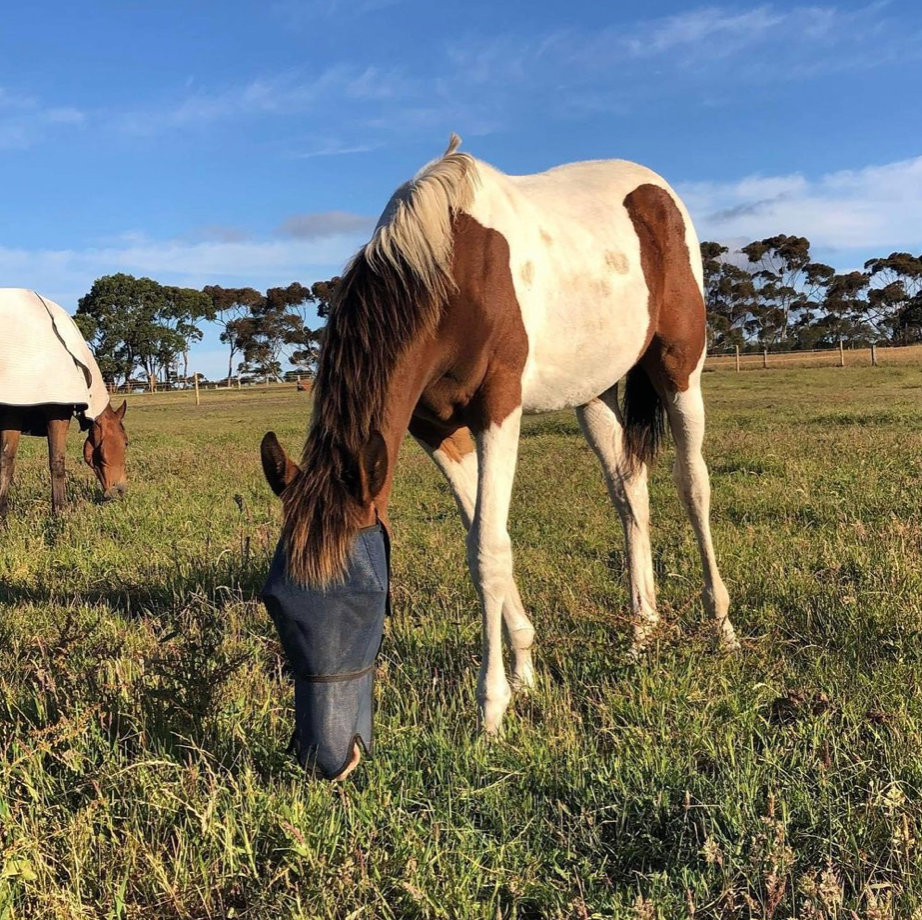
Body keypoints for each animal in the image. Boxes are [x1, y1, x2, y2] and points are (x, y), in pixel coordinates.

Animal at [0, 290, 127, 516]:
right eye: (126, 442)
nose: (120, 490)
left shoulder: (13, 414)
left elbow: (7, 462)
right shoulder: (56, 411)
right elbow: (57, 462)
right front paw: (59, 512)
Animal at [262, 137, 736, 780]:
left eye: (367, 604)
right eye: (276, 603)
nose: (330, 761)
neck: (447, 271)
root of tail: (657, 190)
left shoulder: (499, 409)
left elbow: (488, 551)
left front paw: (491, 713)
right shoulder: (435, 430)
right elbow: (485, 540)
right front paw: (527, 673)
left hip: (679, 368)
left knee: (693, 486)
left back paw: (722, 628)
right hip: (593, 393)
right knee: (628, 490)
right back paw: (642, 630)